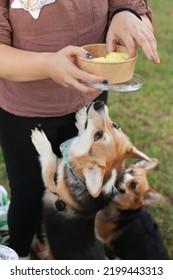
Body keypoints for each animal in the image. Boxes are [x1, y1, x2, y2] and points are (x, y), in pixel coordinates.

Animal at [31, 100, 151, 260]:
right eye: (116, 125)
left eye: (98, 136)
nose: (99, 103)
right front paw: (82, 117)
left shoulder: (53, 184)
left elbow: (49, 159)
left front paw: (40, 141)